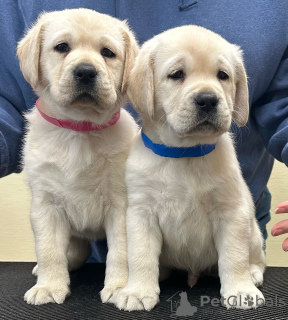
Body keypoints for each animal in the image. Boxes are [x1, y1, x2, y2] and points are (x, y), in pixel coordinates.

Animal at [17, 8, 139, 304]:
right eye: (62, 47)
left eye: (107, 53)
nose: (85, 71)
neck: (79, 131)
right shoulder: (45, 205)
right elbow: (49, 250)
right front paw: (49, 286)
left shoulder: (120, 205)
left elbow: (121, 251)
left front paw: (119, 286)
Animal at [114, 26, 266, 312]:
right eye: (177, 75)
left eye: (222, 75)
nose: (207, 99)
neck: (185, 154)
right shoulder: (141, 213)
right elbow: (140, 255)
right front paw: (138, 291)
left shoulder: (232, 212)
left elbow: (234, 257)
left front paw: (240, 290)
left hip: (253, 232)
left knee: (255, 257)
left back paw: (253, 274)